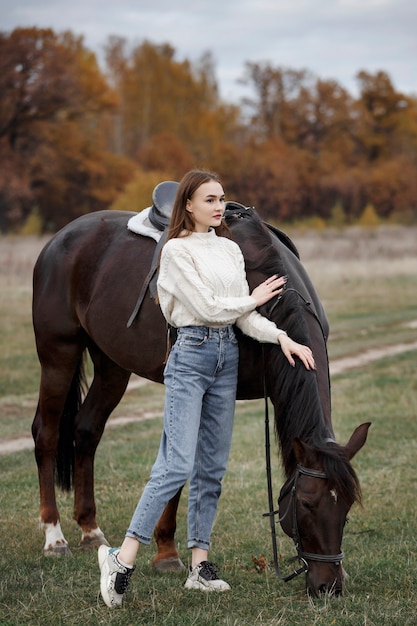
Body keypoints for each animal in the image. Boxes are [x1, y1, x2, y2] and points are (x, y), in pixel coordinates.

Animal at [32, 204, 368, 596]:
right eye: (306, 503)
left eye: (347, 507)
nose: (329, 586)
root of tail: (60, 238)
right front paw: (167, 553)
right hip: (59, 354)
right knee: (46, 434)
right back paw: (54, 537)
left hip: (111, 365)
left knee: (86, 431)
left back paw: (90, 530)